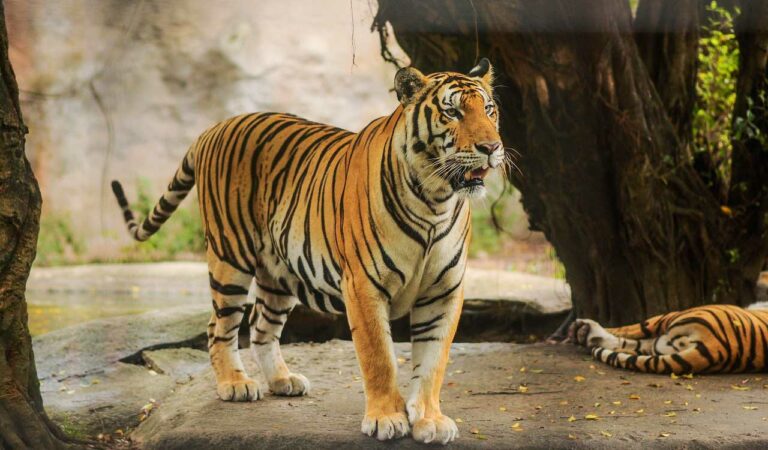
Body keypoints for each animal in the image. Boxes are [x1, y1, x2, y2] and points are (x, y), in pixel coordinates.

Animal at [111, 58, 504, 445]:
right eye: (452, 112)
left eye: (489, 110)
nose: (491, 147)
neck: (436, 199)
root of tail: (214, 127)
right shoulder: (364, 285)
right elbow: (379, 356)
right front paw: (386, 419)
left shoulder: (444, 289)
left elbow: (434, 360)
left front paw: (430, 421)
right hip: (230, 256)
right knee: (218, 326)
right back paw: (235, 384)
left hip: (279, 272)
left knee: (261, 326)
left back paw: (282, 381)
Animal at [568, 303, 768, 374]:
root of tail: (716, 348)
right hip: (663, 343)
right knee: (635, 343)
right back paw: (587, 334)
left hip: (672, 315)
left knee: (631, 330)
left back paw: (583, 330)